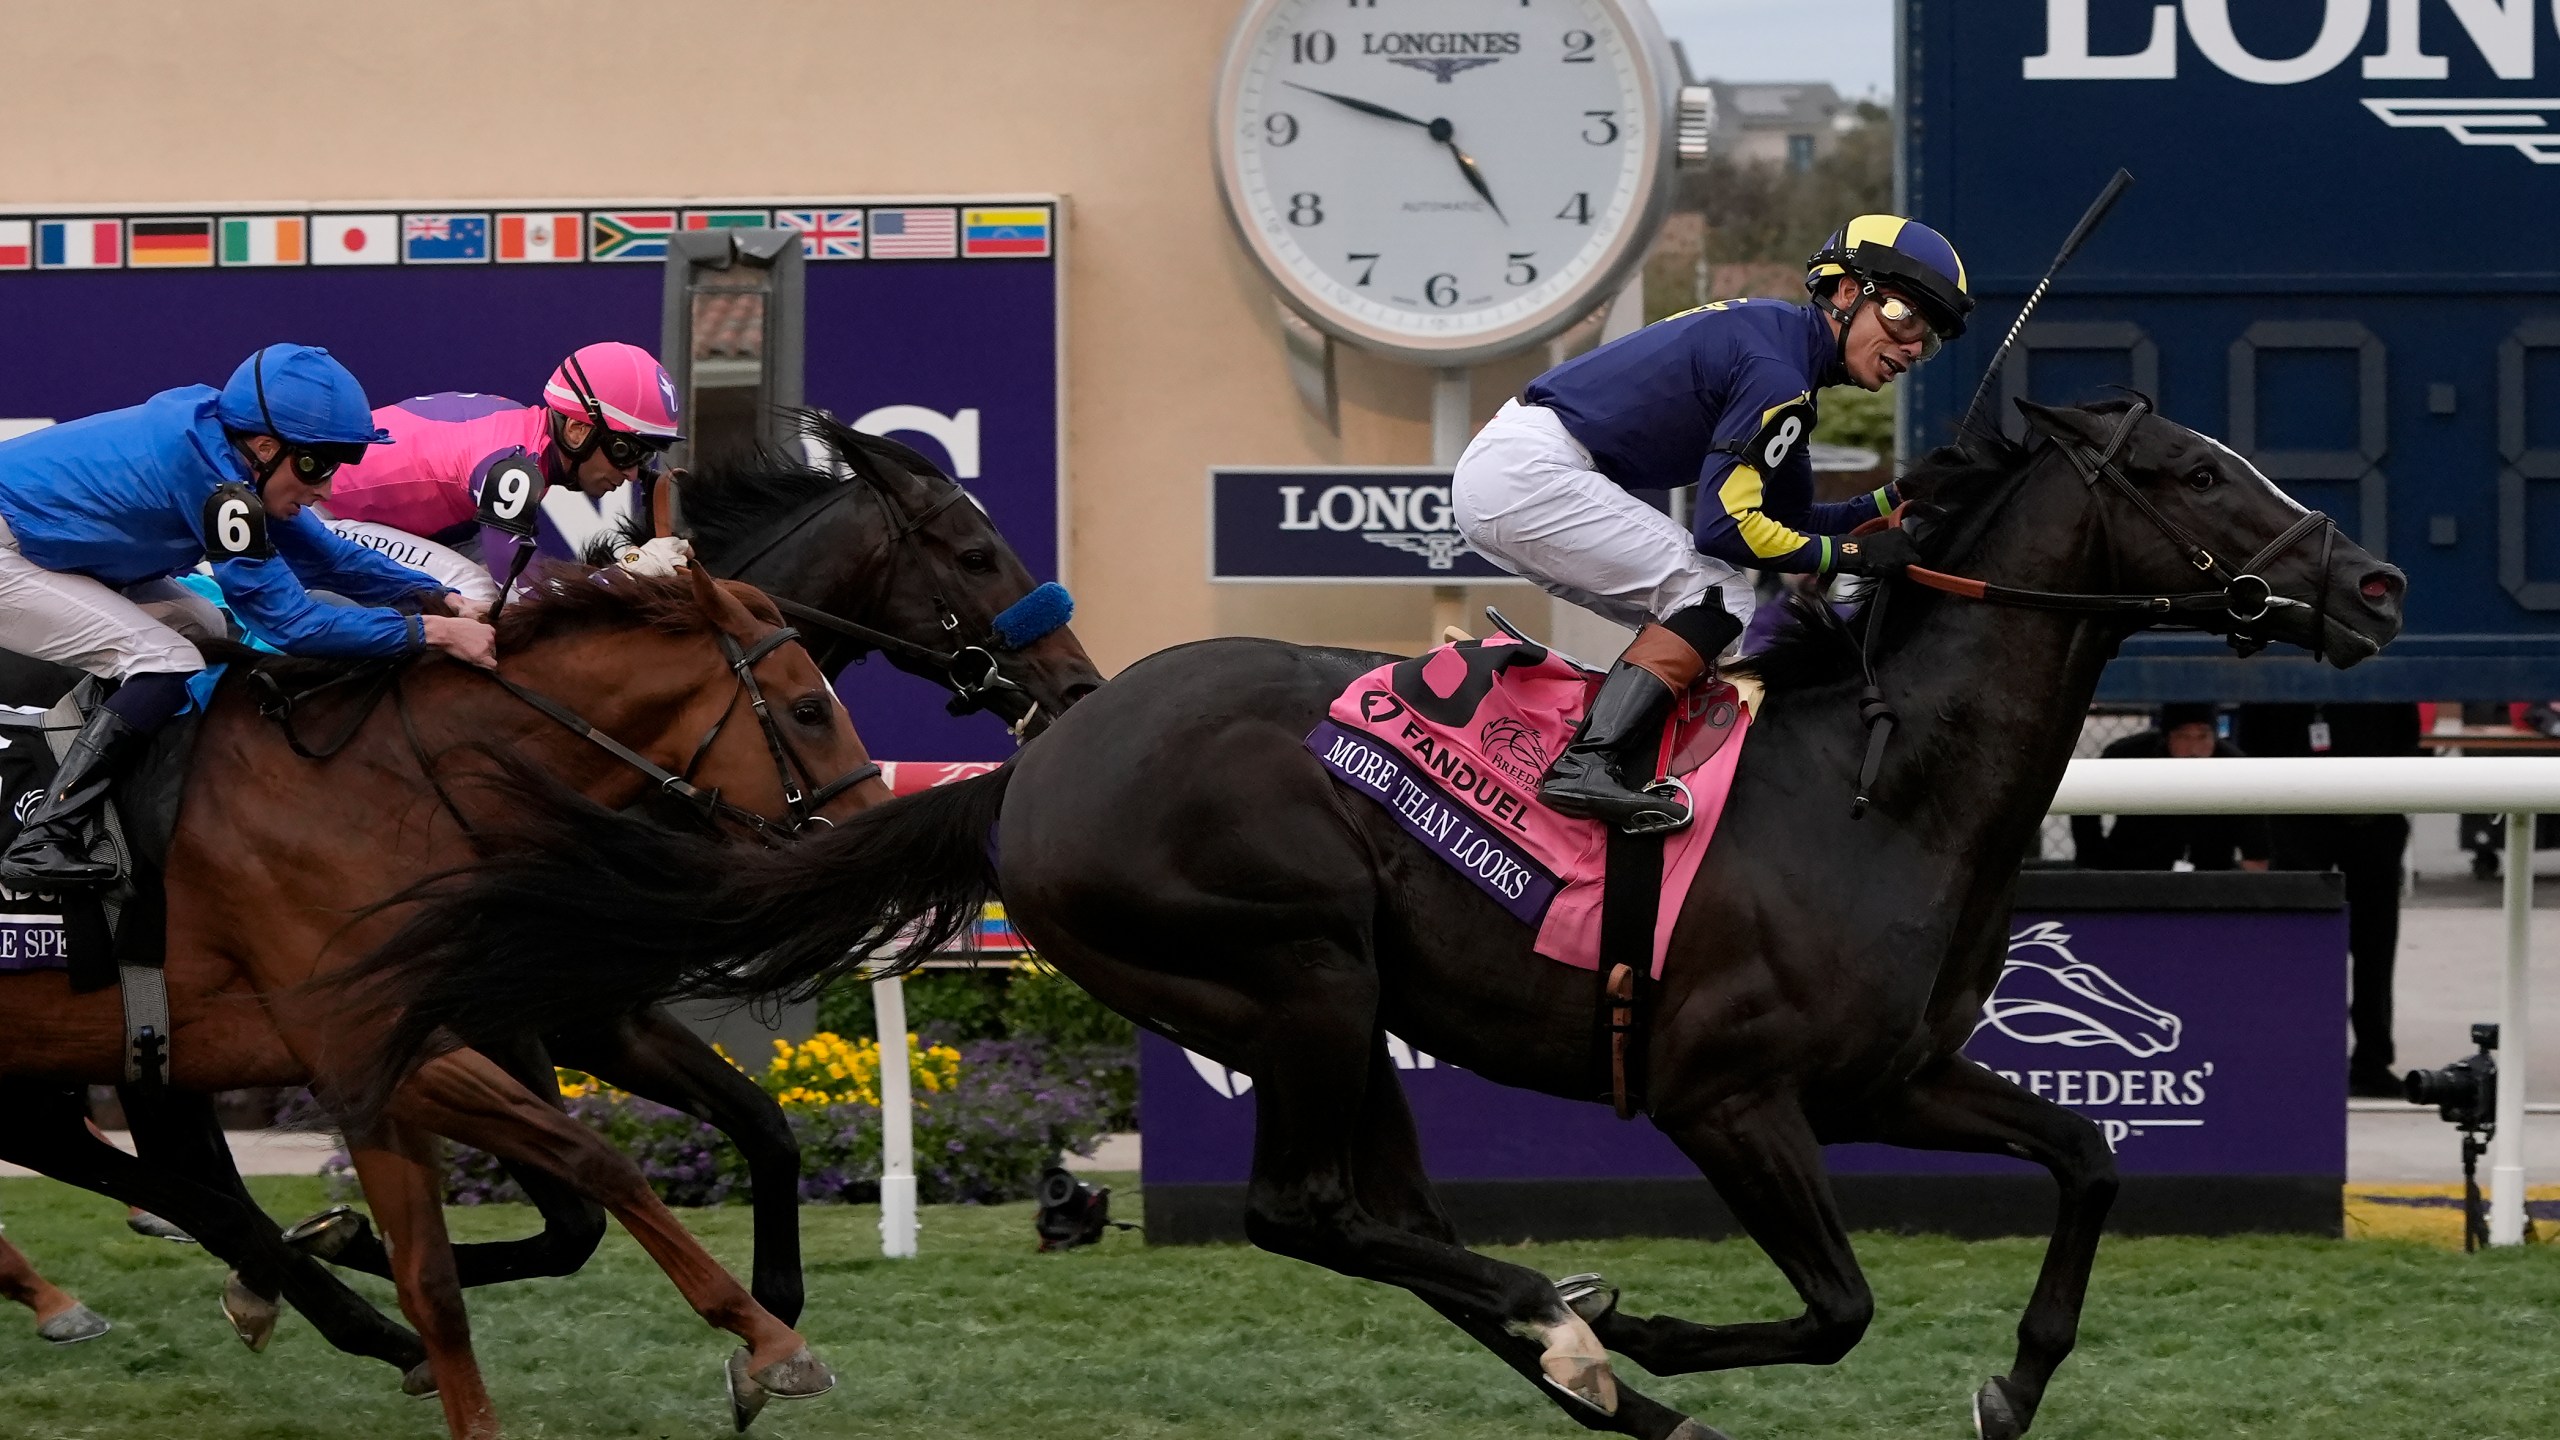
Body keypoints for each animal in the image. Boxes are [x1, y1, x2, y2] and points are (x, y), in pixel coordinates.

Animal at [0, 558, 890, 1434]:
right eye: (809, 709)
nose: (875, 832)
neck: (386, 786)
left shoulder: (414, 1054)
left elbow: (441, 1277)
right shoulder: (376, 1042)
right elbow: (596, 1164)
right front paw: (770, 1341)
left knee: (124, 1166)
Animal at [335, 394, 2396, 1434]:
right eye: (2198, 474)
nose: (2371, 583)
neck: (1873, 781)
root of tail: (1039, 767)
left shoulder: (1891, 1076)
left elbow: (2093, 1165)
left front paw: (2016, 1381)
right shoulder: (1729, 1095)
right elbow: (1833, 1306)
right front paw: (1656, 1335)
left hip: (1330, 1006)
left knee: (1370, 1214)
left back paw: (1565, 1352)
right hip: (1296, 971)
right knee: (1310, 1210)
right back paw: (1577, 1343)